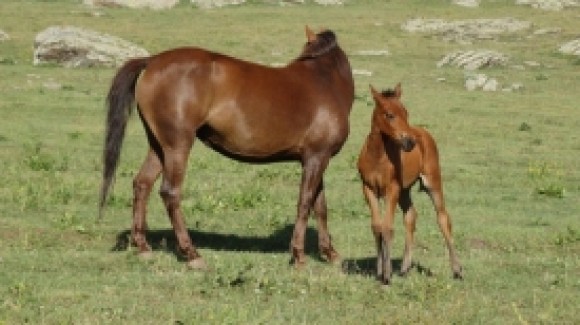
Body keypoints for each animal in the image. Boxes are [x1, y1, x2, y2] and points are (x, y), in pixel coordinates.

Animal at [99, 26, 354, 268]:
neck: (324, 82)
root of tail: (152, 60)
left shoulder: (317, 158)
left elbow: (320, 206)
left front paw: (330, 253)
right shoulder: (315, 158)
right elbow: (305, 203)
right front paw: (299, 255)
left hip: (158, 145)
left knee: (142, 184)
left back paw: (143, 247)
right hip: (177, 146)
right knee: (170, 192)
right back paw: (192, 254)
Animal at [358, 83, 462, 284]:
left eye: (406, 113)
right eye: (390, 114)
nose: (410, 142)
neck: (377, 157)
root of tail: (423, 132)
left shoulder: (391, 189)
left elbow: (387, 228)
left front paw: (387, 275)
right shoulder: (369, 189)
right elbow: (377, 227)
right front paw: (379, 270)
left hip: (432, 182)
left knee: (443, 218)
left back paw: (457, 270)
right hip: (405, 190)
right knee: (411, 216)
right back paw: (405, 267)